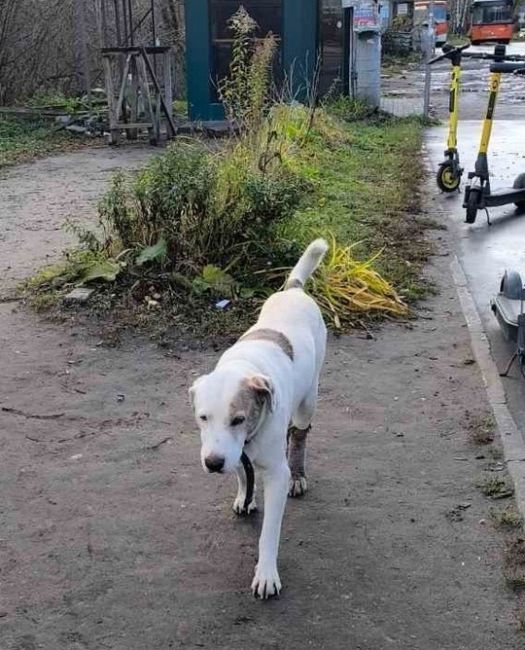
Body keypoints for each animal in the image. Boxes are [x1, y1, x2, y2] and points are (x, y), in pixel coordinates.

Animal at [188, 238, 328, 596]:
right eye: (203, 418)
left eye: (238, 419)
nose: (212, 464)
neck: (245, 367)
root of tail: (293, 289)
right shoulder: (235, 451)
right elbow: (241, 472)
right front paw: (244, 497)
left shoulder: (274, 474)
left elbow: (269, 534)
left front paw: (266, 574)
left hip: (309, 399)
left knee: (300, 434)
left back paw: (298, 474)